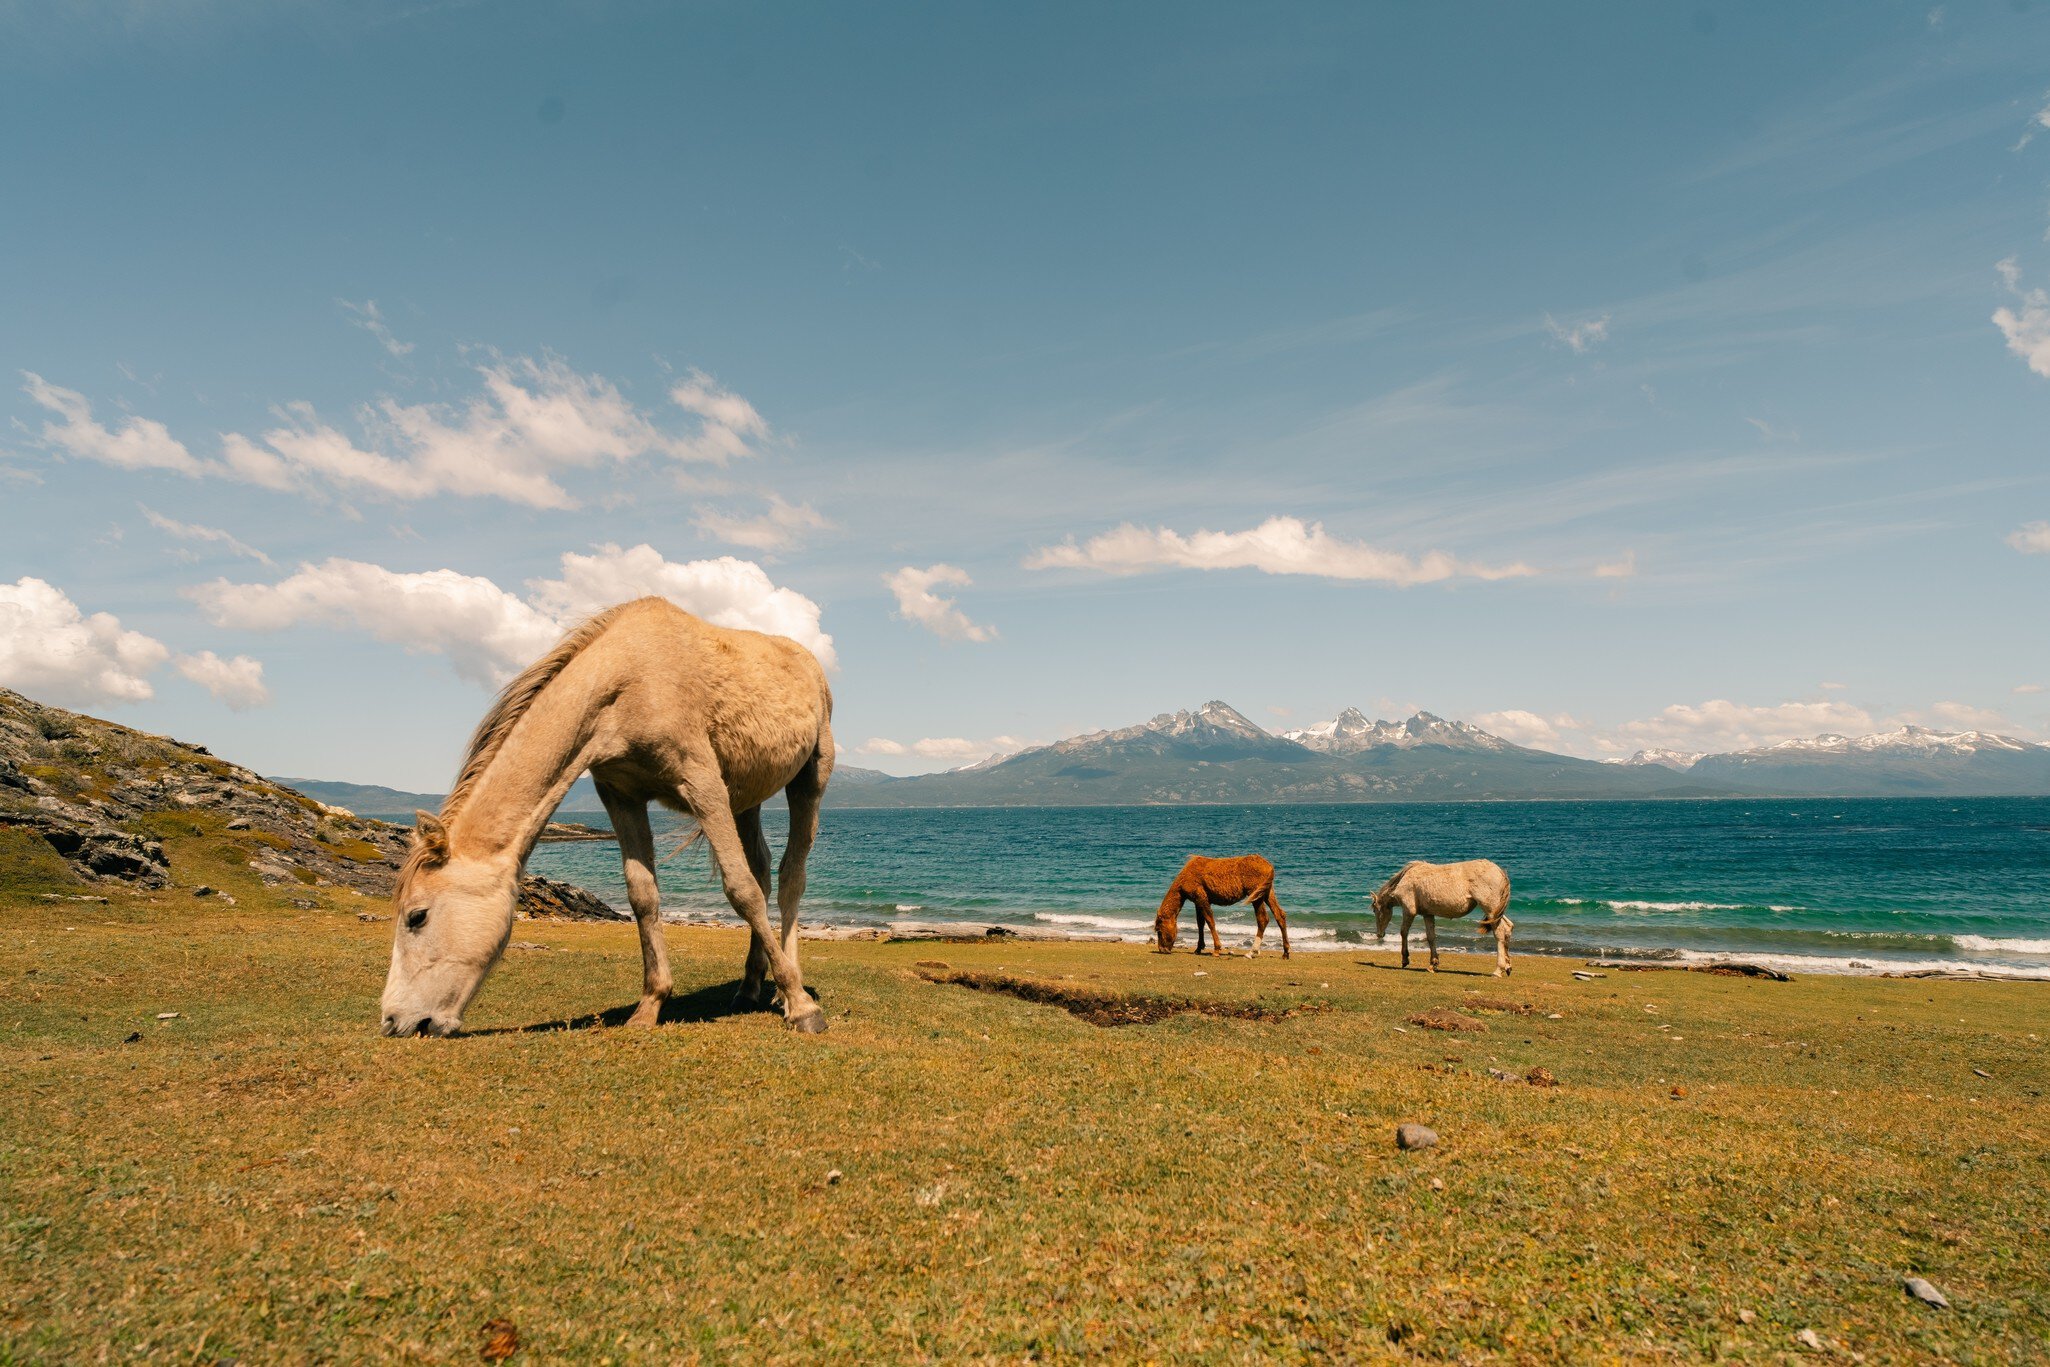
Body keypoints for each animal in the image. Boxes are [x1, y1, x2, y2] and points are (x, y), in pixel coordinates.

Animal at [379, 597, 834, 1037]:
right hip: (745, 796)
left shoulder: (702, 784)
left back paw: (787, 990)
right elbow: (643, 895)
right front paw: (650, 1005)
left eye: (417, 916)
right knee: (761, 867)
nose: (393, 1022)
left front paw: (802, 1006)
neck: (629, 678)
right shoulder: (621, 795)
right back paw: (750, 986)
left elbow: (741, 891)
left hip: (809, 778)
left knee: (789, 877)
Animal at [1154, 854, 1291, 959]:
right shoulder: (1198, 902)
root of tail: (1269, 866)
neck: (1186, 878)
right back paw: (1285, 953)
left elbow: (1210, 922)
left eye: (1159, 931)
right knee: (1280, 915)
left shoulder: (1202, 899)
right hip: (1267, 892)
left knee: (1263, 919)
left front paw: (1216, 949)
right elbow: (1200, 924)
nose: (1162, 950)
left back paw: (1251, 952)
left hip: (1256, 895)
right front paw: (1198, 948)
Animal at [1370, 859, 1514, 977]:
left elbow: (1404, 932)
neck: (1405, 879)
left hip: (1490, 910)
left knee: (1500, 933)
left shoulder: (1409, 911)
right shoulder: (1428, 914)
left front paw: (1405, 959)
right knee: (1508, 927)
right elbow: (1431, 937)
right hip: (1495, 913)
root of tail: (1500, 872)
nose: (1379, 934)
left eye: (1375, 910)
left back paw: (1498, 970)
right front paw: (1433, 964)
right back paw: (1507, 967)